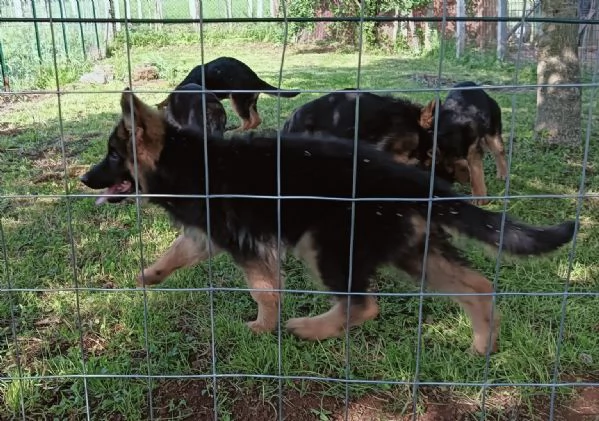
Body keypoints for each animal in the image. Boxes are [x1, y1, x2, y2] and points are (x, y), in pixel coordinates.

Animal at [81, 89, 576, 354]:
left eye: (112, 156)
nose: (84, 179)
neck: (186, 161)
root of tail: (413, 179)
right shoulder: (211, 235)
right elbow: (176, 253)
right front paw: (146, 276)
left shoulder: (247, 245)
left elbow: (264, 291)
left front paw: (263, 327)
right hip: (411, 251)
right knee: (478, 286)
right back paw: (482, 345)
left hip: (327, 243)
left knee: (364, 305)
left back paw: (312, 328)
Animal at [157, 56, 302, 130]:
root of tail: (256, 78)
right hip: (249, 102)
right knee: (256, 120)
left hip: (237, 100)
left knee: (248, 121)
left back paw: (235, 132)